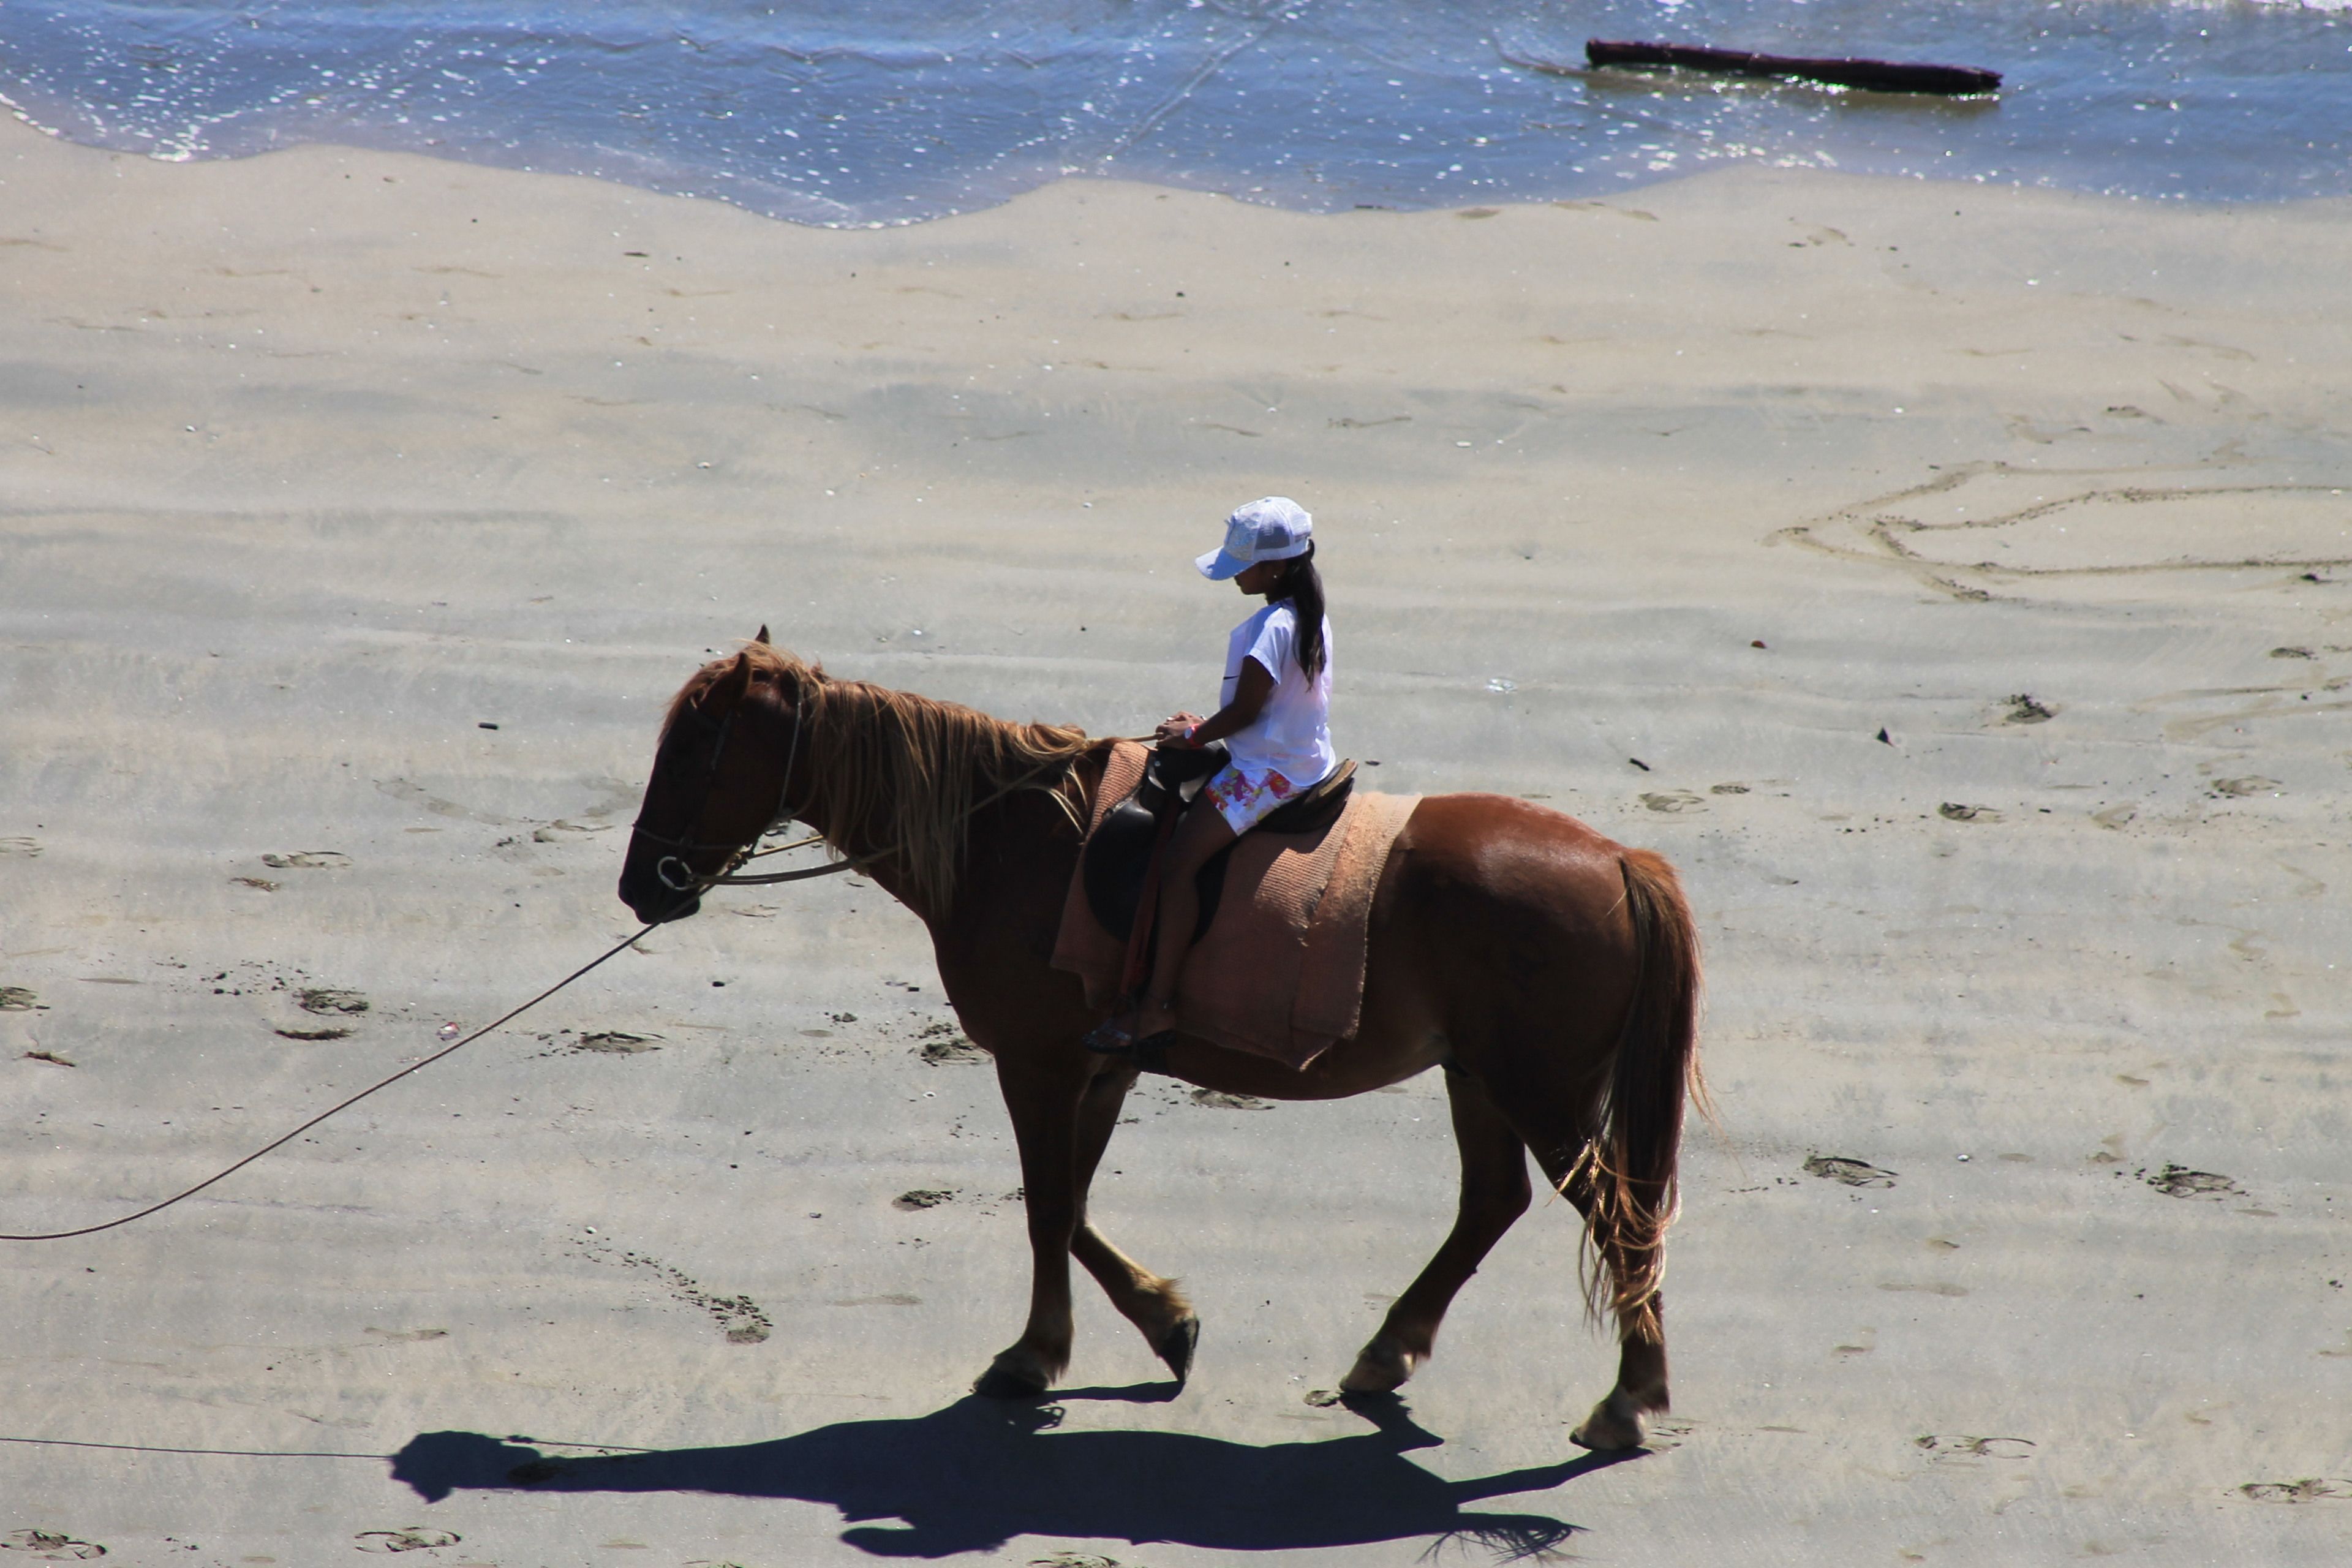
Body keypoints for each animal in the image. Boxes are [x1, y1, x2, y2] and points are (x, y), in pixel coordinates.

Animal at [617, 632, 1707, 1451]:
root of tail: (1621, 861)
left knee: (1619, 1219)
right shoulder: (1100, 1067)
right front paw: (1162, 1319)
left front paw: (1036, 1354)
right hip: (1481, 1077)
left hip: (1539, 1092)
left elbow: (1048, 1208)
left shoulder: (1039, 1066)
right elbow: (1070, 1207)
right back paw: (1389, 1352)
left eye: (693, 755)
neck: (1010, 839)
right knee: (1494, 1204)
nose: (638, 887)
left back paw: (1626, 1401)